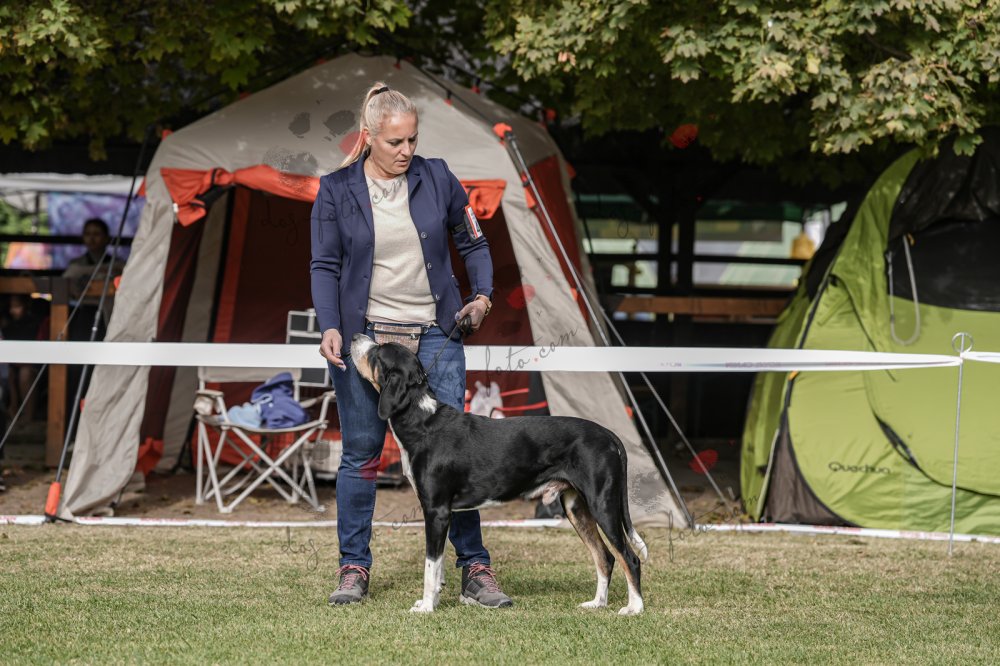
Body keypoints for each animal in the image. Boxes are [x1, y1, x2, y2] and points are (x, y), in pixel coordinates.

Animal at [350, 334, 648, 615]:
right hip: (577, 508)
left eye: (377, 352)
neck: (422, 421)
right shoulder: (442, 514)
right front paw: (431, 601)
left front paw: (425, 608)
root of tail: (607, 434)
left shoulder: (436, 512)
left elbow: (430, 566)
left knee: (630, 558)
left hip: (603, 505)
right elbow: (438, 567)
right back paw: (597, 603)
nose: (354, 337)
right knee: (605, 557)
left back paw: (634, 608)